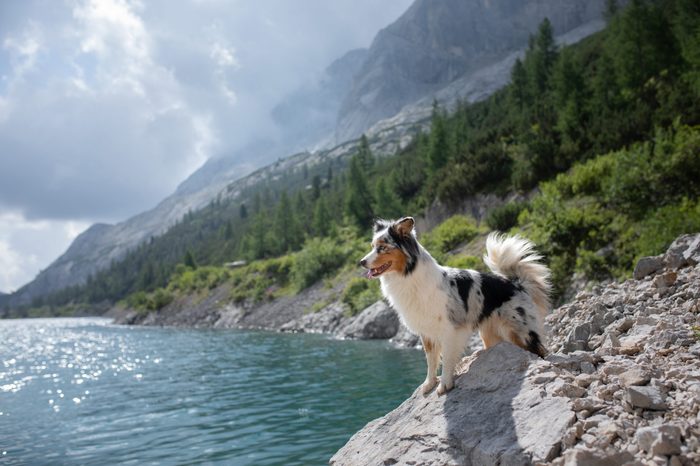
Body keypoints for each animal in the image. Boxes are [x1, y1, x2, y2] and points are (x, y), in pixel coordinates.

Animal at [360, 217, 552, 396]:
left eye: (382, 247)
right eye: (372, 246)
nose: (361, 262)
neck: (409, 276)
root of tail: (516, 284)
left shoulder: (450, 330)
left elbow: (447, 359)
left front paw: (445, 383)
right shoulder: (426, 331)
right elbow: (431, 360)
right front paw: (429, 383)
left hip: (523, 333)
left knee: (541, 350)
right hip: (491, 335)